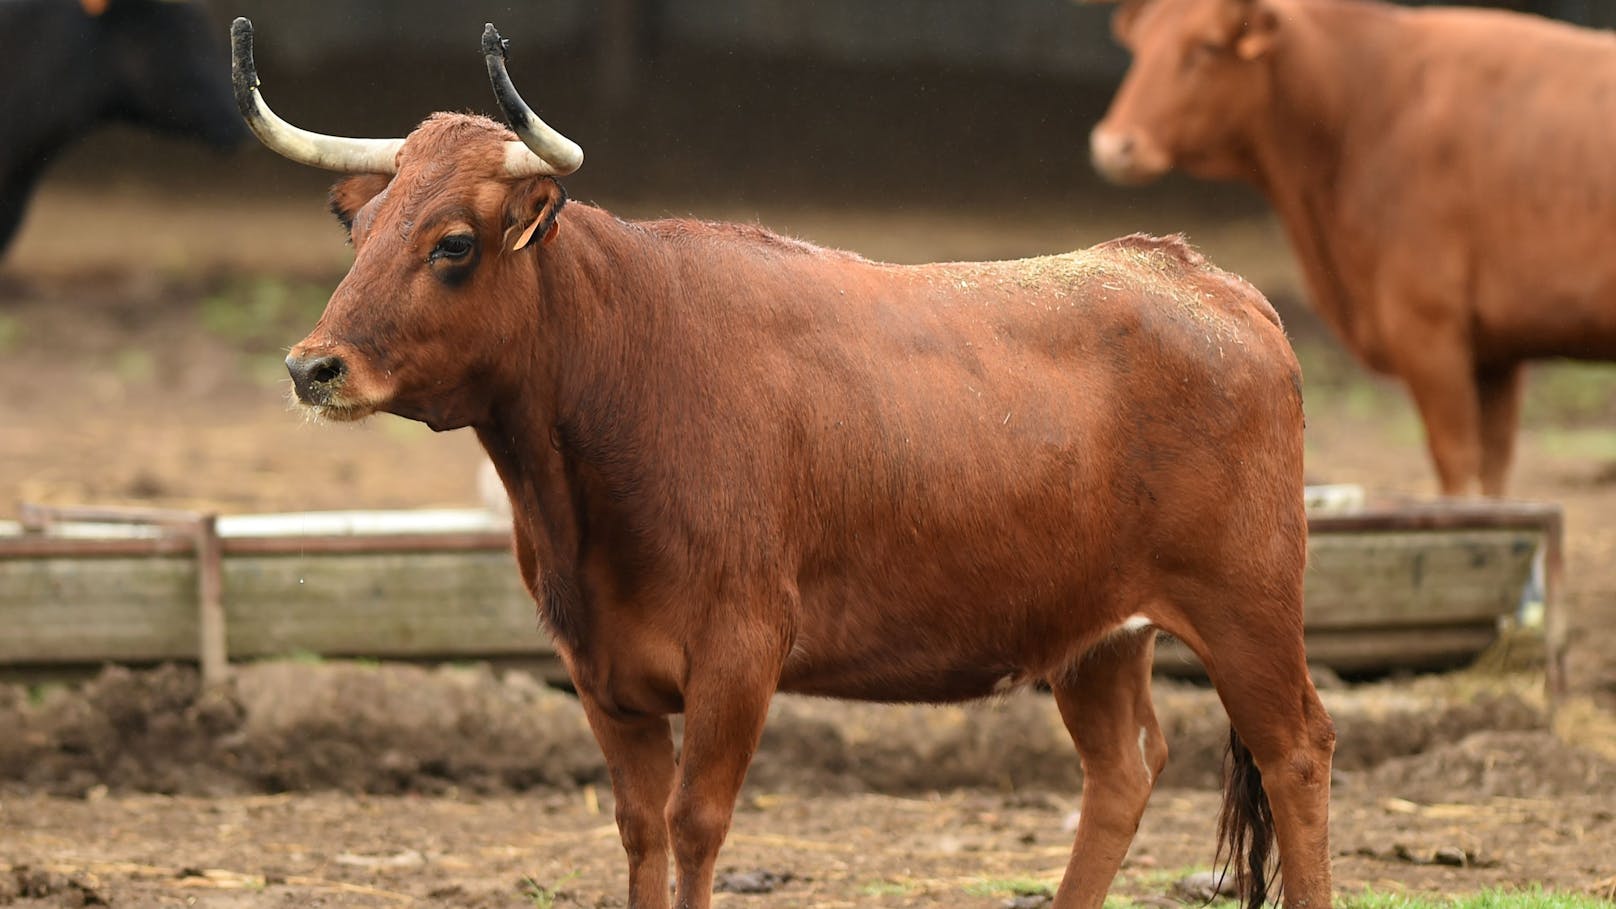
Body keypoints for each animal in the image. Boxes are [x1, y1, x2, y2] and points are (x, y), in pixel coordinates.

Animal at [231, 19, 1338, 905]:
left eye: (453, 244)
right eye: (363, 232)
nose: (311, 366)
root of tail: (1197, 273)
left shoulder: (739, 652)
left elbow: (693, 826)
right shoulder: (600, 672)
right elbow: (638, 830)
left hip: (1246, 606)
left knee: (1296, 752)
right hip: (1094, 635)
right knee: (1123, 769)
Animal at [1085, 0, 1616, 494]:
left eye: (1208, 47)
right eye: (1139, 47)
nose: (1114, 145)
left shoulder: (1427, 329)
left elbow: (1457, 465)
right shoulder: (1495, 351)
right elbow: (1493, 472)